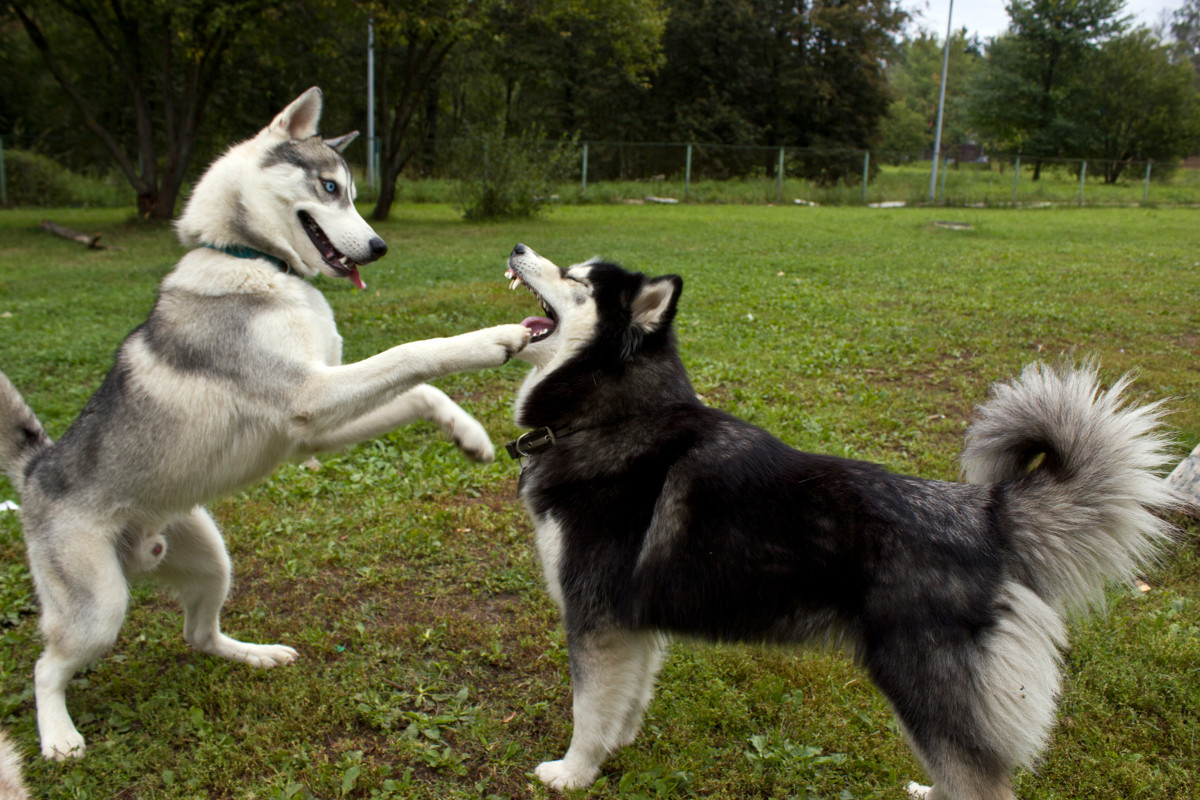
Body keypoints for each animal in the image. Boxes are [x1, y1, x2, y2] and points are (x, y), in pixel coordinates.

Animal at [0, 87, 530, 762]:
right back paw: (60, 735)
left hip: (209, 560)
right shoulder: (310, 395)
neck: (261, 262)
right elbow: (416, 352)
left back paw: (254, 655)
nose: (379, 247)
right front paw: (492, 339)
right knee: (46, 667)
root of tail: (37, 466)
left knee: (199, 636)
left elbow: (420, 389)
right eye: (330, 188)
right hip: (99, 609)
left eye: (352, 191)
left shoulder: (312, 429)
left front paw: (468, 434)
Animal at [501, 245, 1176, 800]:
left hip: (922, 686)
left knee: (982, 784)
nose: (517, 247)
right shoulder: (632, 625)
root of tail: (988, 514)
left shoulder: (596, 618)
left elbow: (587, 710)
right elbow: (624, 702)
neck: (609, 417)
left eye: (575, 279)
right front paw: (613, 751)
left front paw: (570, 774)